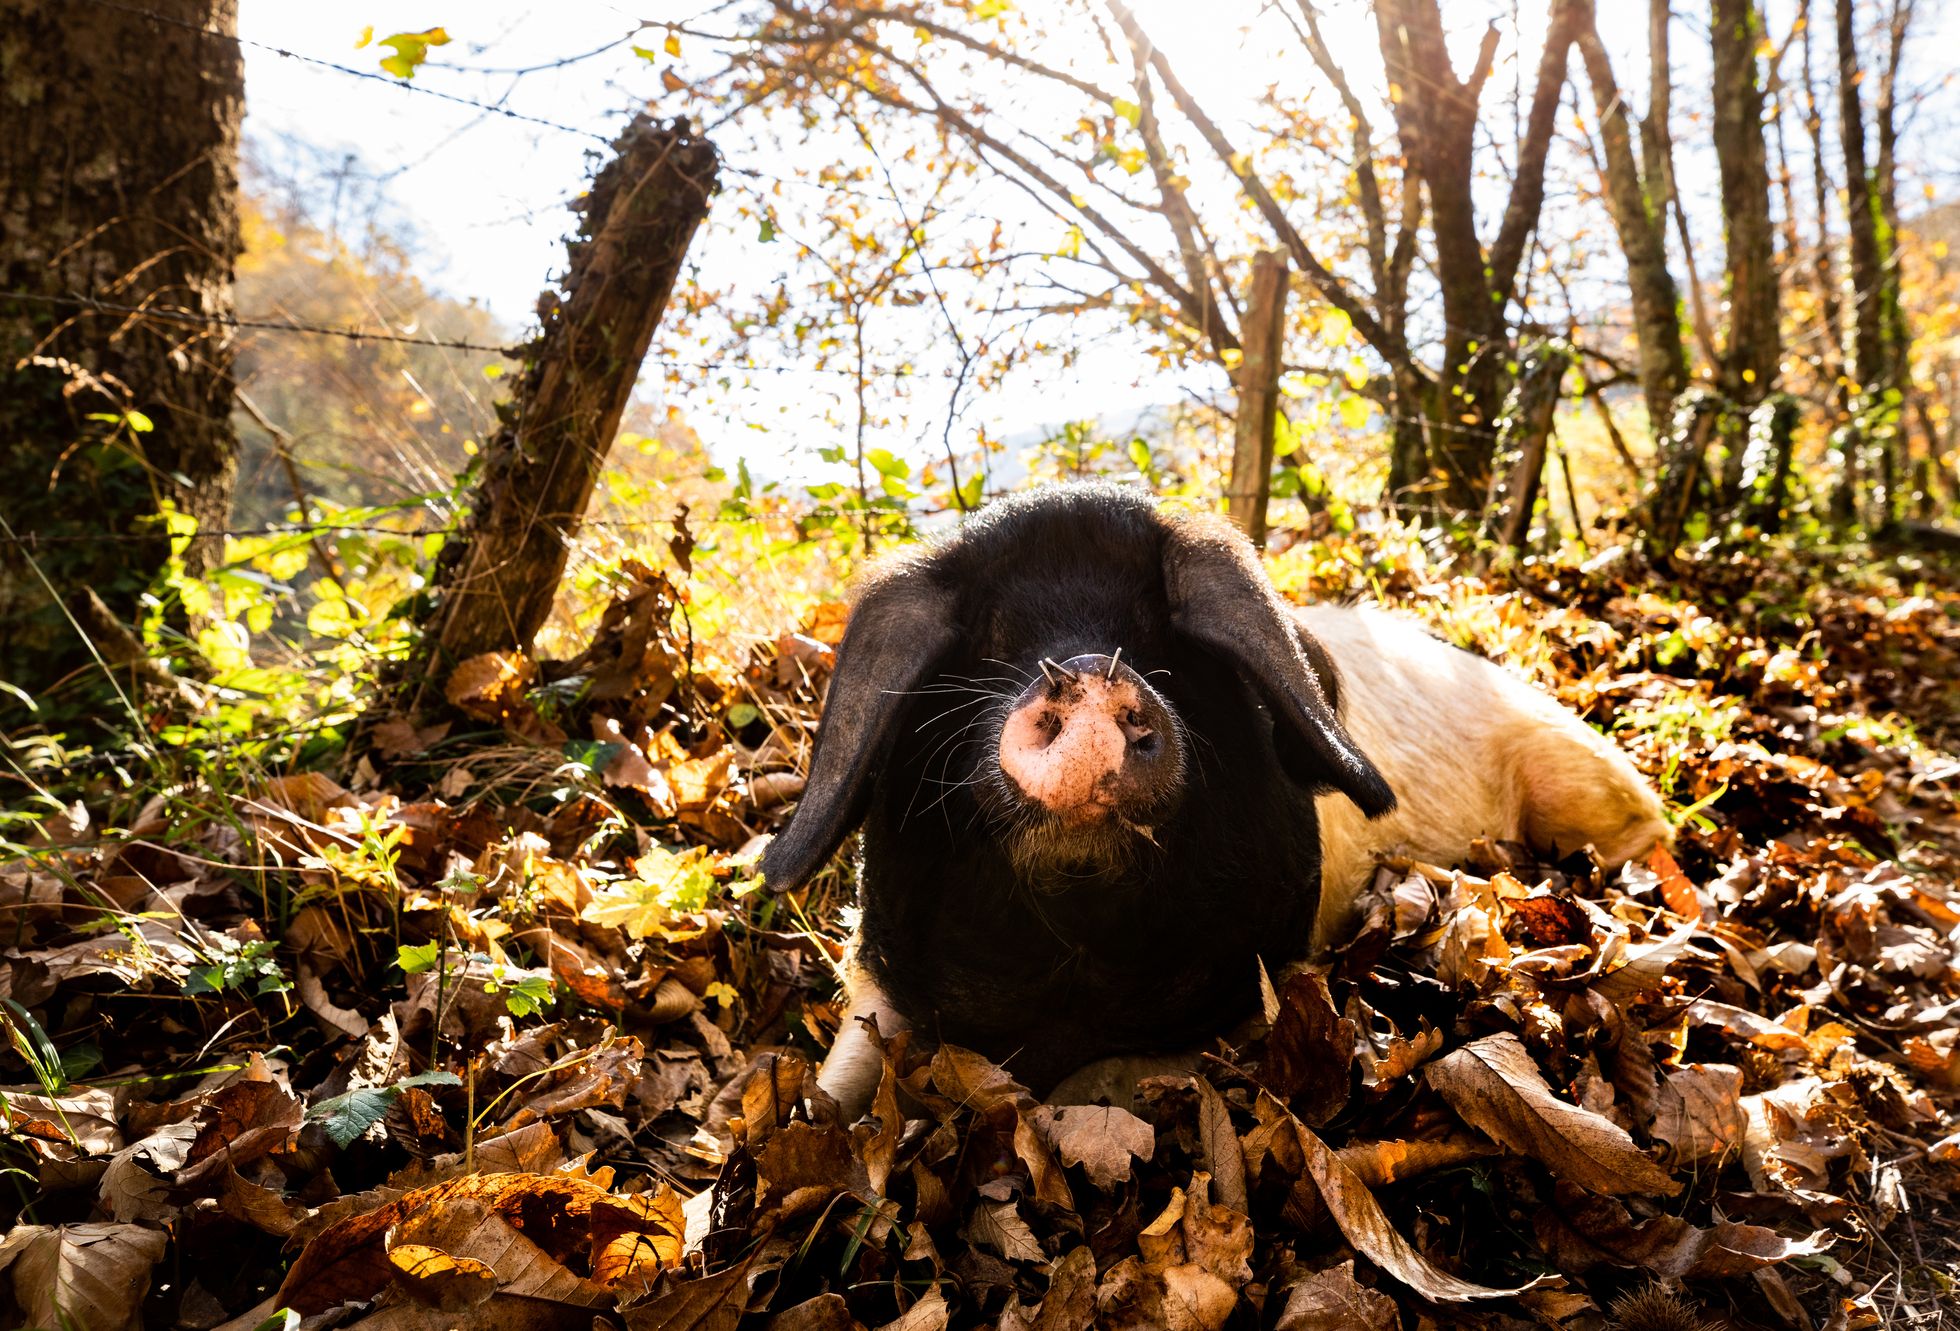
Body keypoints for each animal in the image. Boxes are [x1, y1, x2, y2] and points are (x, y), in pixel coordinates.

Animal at [756, 484, 1662, 1121]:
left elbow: (1111, 1078)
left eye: (1155, 630)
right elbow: (833, 1090)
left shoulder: (1254, 987)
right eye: (992, 640)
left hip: (1573, 767)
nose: (1085, 672)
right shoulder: (877, 975)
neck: (1075, 954)